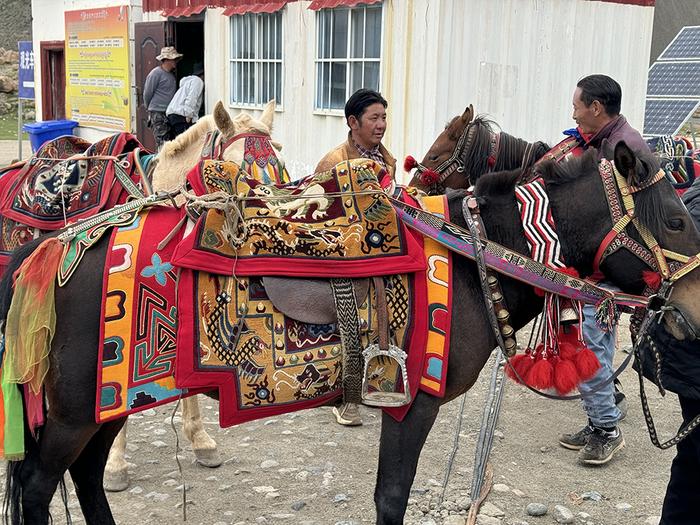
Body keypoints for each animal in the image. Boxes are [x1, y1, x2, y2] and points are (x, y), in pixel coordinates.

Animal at [4, 141, 700, 520]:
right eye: (674, 220)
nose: (692, 308)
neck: (471, 259)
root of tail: (47, 251)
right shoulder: (412, 401)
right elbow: (391, 497)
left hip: (107, 404)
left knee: (85, 478)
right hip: (75, 412)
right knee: (39, 488)